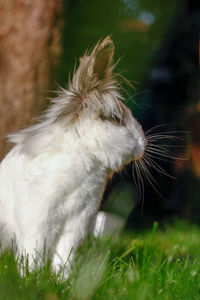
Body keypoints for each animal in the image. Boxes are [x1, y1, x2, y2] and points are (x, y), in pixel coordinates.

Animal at [0, 37, 147, 276]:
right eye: (115, 118)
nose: (143, 144)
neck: (84, 155)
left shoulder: (74, 226)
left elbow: (64, 257)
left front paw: (62, 280)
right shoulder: (38, 222)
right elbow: (33, 253)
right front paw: (31, 280)